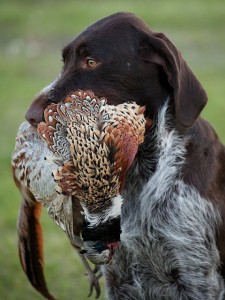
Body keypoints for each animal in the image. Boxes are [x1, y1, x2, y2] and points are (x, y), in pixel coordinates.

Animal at [25, 12, 225, 300]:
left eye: (91, 61)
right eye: (65, 62)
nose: (30, 116)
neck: (141, 175)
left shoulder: (197, 279)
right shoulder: (117, 277)